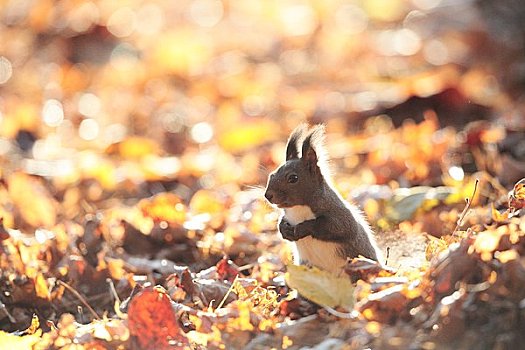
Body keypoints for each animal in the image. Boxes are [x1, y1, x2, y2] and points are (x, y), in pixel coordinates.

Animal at [262, 124, 380, 274]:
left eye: (293, 178)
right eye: (271, 175)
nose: (268, 195)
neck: (298, 210)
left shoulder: (340, 215)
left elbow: (334, 227)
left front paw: (301, 228)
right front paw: (284, 230)